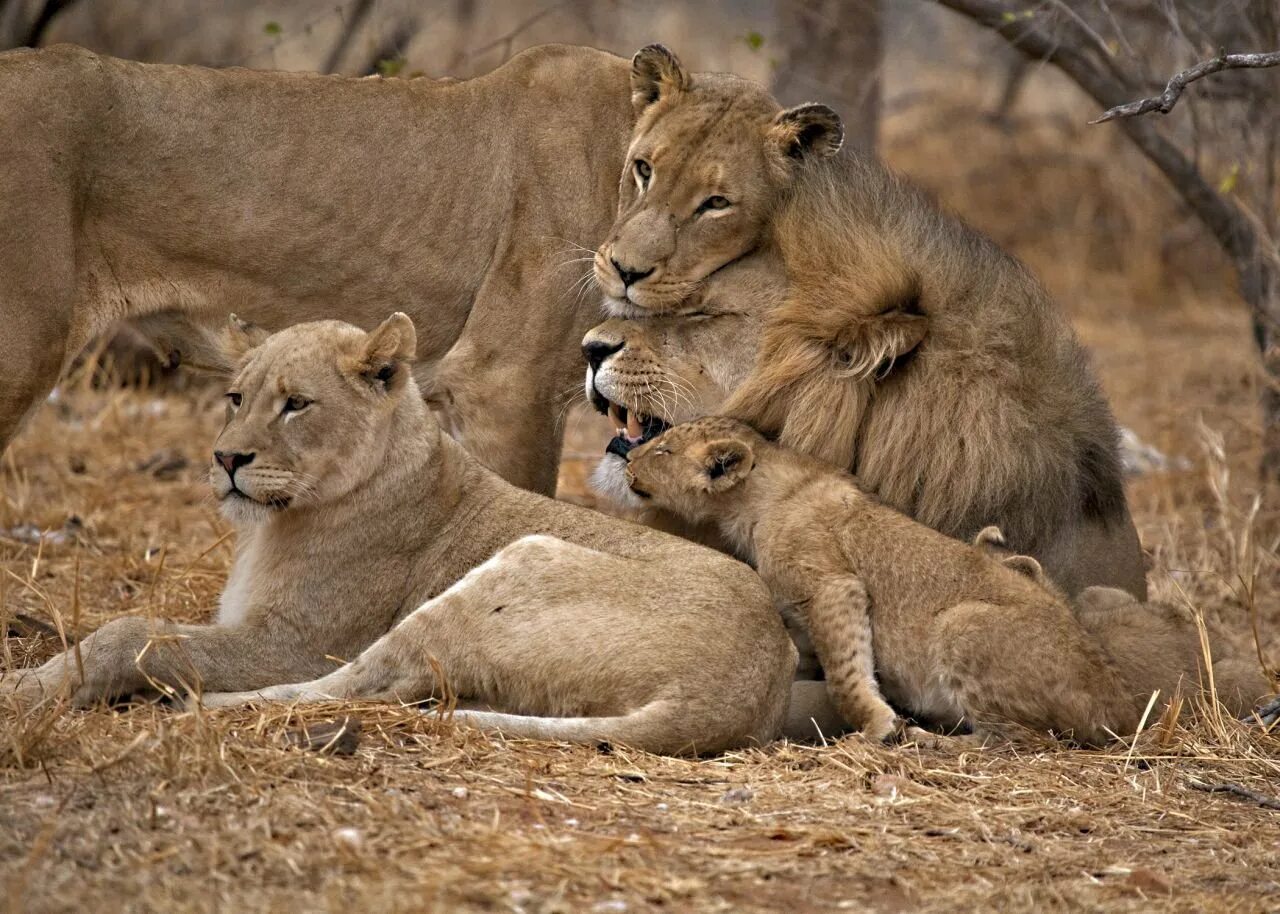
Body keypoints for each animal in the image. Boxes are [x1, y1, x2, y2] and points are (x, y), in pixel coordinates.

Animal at [5, 314, 793, 752]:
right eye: (235, 398)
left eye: (295, 405)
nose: (226, 459)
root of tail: (738, 695)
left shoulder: (294, 641)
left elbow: (134, 633)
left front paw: (25, 688)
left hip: (517, 564)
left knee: (360, 684)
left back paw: (195, 709)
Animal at [622, 417, 1269, 742]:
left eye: (663, 448)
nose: (626, 460)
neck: (763, 489)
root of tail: (1125, 702)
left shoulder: (833, 585)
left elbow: (847, 672)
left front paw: (877, 725)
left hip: (963, 626)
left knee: (1014, 742)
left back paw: (929, 739)